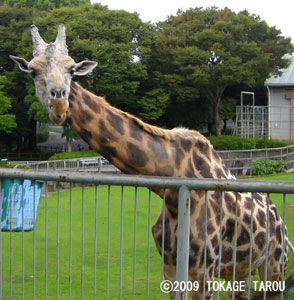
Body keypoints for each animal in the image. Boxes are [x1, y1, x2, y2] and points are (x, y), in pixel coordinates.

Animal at [9, 24, 294, 298]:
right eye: (32, 71)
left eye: (72, 69)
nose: (59, 104)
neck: (173, 190)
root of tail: (282, 224)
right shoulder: (171, 267)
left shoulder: (205, 270)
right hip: (240, 271)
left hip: (274, 265)